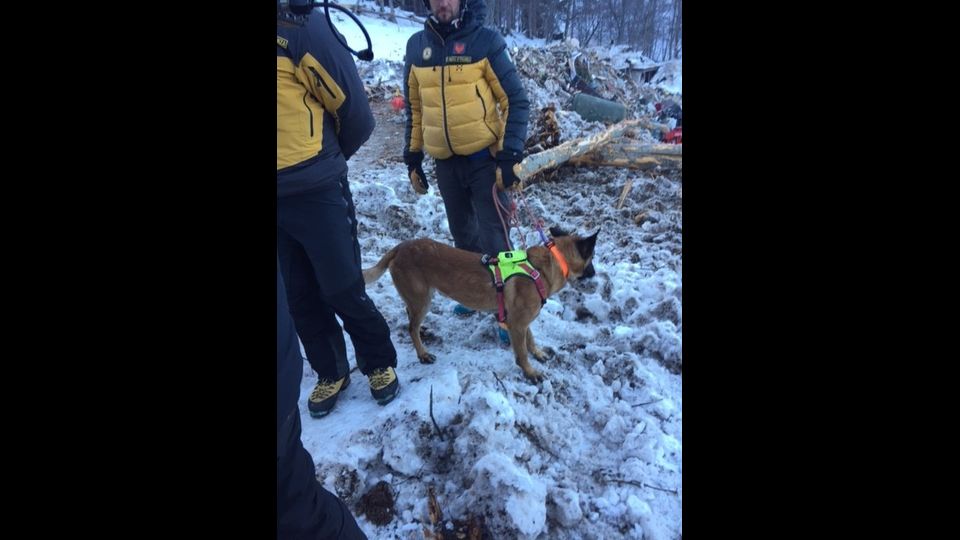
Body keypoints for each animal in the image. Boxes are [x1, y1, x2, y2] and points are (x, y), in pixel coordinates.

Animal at [362, 226, 596, 382]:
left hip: (419, 299)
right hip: (422, 300)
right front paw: (530, 372)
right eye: (592, 261)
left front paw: (537, 353)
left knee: (410, 319)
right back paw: (423, 354)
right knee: (411, 327)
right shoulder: (517, 324)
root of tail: (400, 247)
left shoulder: (520, 322)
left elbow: (530, 339)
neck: (544, 267)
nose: (596, 276)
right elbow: (521, 352)